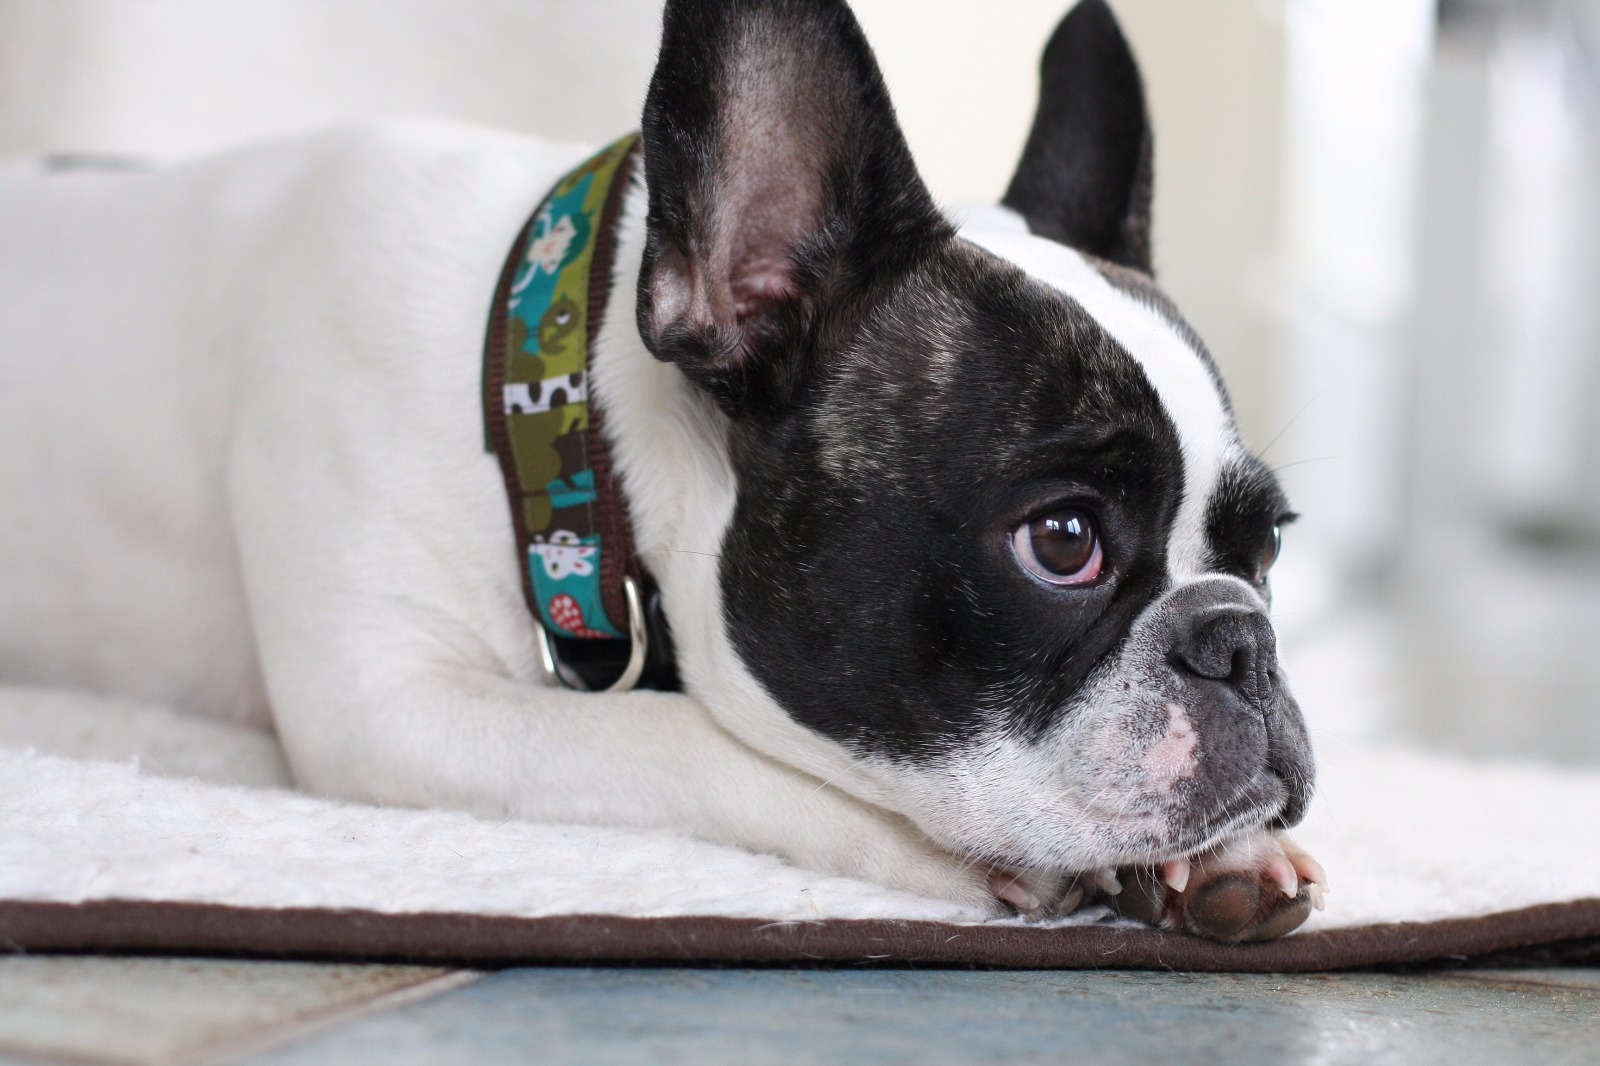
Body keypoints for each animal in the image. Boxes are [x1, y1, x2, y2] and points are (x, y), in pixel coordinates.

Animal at [0, 0, 1323, 942]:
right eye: (1062, 542)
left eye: (1264, 544)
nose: (1241, 641)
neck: (555, 404)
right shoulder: (390, 706)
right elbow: (677, 736)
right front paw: (939, 852)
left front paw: (1231, 856)